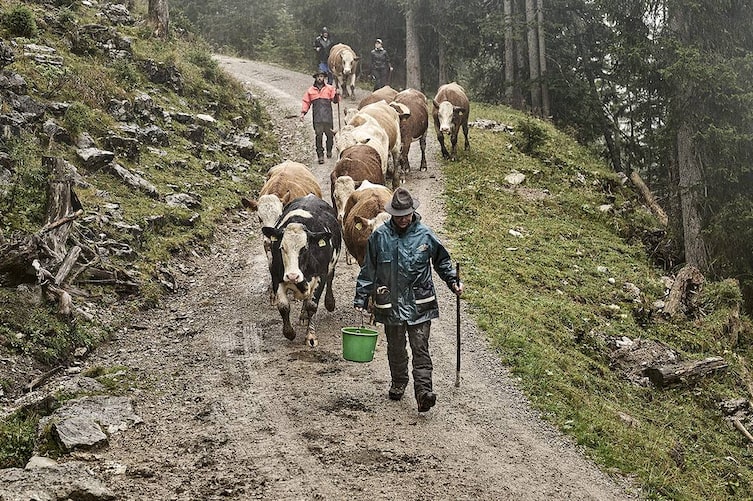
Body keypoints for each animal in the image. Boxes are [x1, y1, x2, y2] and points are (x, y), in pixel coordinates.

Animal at [260, 193, 340, 346]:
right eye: (282, 248)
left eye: (305, 248)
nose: (292, 276)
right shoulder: (276, 277)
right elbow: (283, 306)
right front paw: (289, 333)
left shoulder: (320, 276)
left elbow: (312, 305)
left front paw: (311, 336)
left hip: (332, 265)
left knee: (330, 279)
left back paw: (329, 303)